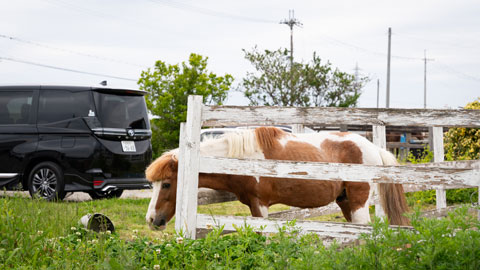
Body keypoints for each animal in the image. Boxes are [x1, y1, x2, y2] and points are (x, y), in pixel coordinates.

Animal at [145, 126, 408, 230]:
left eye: (166, 184)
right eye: (152, 184)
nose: (151, 219)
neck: (243, 159)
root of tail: (373, 148)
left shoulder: (259, 205)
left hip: (358, 203)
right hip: (345, 202)